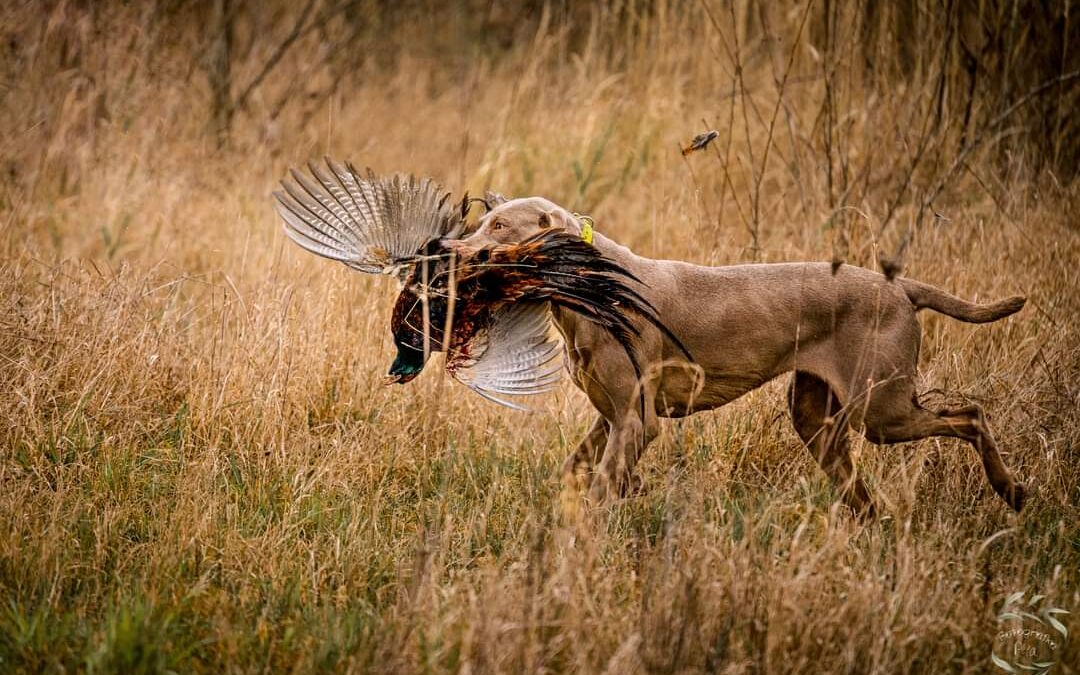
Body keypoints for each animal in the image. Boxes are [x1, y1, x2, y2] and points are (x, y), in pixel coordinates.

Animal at [460, 197, 1023, 514]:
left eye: (499, 227)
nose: (451, 249)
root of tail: (901, 286)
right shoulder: (612, 418)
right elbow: (576, 471)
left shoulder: (636, 421)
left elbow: (599, 489)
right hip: (818, 419)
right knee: (863, 495)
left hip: (879, 410)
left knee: (970, 415)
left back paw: (1010, 490)